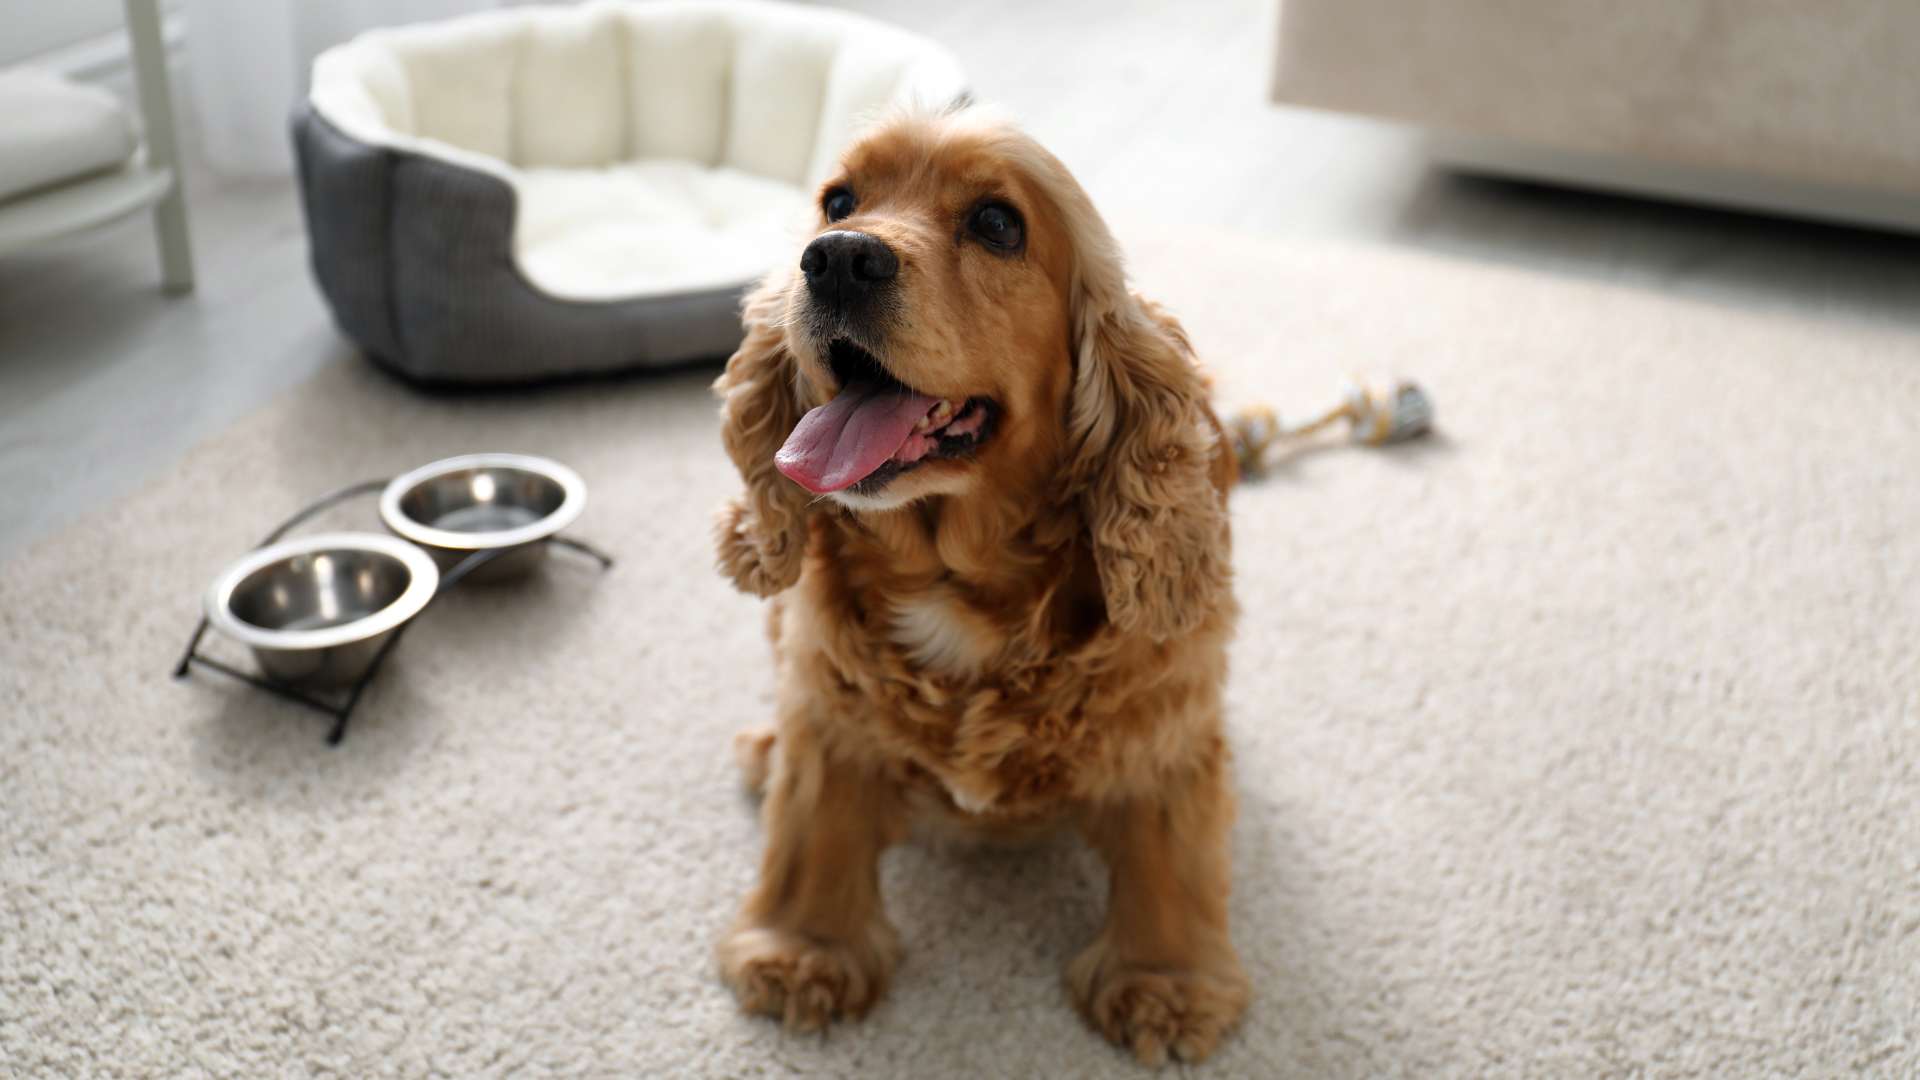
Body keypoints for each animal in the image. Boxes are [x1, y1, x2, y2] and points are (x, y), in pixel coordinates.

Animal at [714, 102, 1236, 1060]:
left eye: (998, 224)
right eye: (836, 200)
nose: (837, 257)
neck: (956, 580)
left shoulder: (1164, 724)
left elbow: (1169, 854)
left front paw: (1166, 983)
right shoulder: (830, 703)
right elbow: (816, 820)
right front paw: (803, 950)